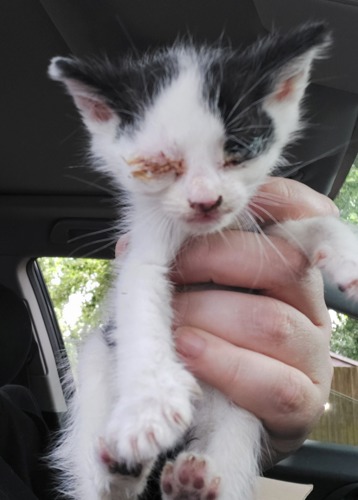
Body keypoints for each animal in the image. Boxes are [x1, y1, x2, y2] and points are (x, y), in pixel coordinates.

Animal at [48, 22, 358, 500]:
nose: (206, 201)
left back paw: (190, 484)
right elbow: (141, 296)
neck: (203, 232)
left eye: (239, 151)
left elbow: (303, 229)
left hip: (238, 413)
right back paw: (119, 470)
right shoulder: (142, 252)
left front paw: (346, 253)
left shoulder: (255, 231)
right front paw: (150, 406)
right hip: (98, 363)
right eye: (159, 165)